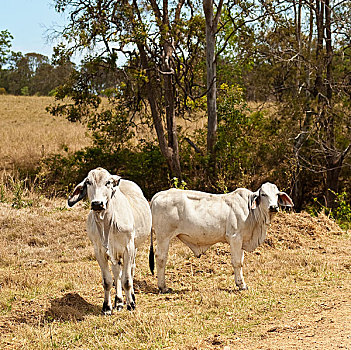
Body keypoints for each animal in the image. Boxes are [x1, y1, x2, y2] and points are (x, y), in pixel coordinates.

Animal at [68, 167, 152, 314]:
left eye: (108, 182)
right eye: (88, 182)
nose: (97, 204)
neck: (107, 224)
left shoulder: (128, 248)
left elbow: (127, 280)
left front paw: (131, 304)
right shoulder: (99, 251)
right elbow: (108, 281)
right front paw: (107, 307)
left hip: (134, 247)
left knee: (131, 269)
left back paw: (131, 297)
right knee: (117, 272)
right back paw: (118, 301)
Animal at [151, 182, 294, 294]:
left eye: (276, 194)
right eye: (263, 194)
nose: (274, 207)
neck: (252, 212)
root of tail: (158, 195)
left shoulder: (241, 241)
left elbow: (241, 261)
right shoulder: (235, 238)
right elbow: (237, 262)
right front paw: (241, 285)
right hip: (163, 236)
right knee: (161, 258)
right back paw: (163, 287)